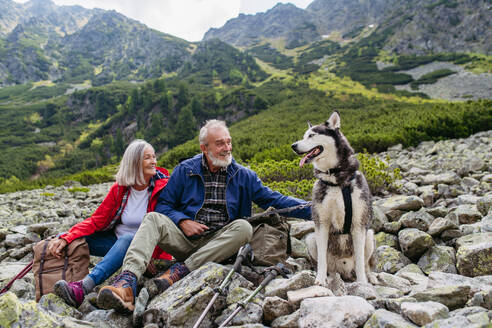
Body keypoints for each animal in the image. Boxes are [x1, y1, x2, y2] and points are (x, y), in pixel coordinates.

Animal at [290, 111, 374, 294]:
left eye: (312, 135)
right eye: (303, 136)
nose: (293, 145)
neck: (336, 181)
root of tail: (343, 269)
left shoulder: (359, 224)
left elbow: (360, 260)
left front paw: (363, 283)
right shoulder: (321, 222)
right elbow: (322, 259)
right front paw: (320, 280)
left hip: (370, 236)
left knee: (365, 262)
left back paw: (371, 277)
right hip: (311, 239)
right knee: (327, 264)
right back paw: (329, 276)